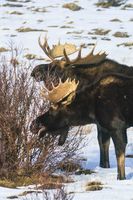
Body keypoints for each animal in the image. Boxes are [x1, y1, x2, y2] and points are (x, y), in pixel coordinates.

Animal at [30, 36, 133, 180]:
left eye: (55, 67)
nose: (34, 71)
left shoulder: (115, 126)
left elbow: (109, 147)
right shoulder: (102, 125)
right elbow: (103, 143)